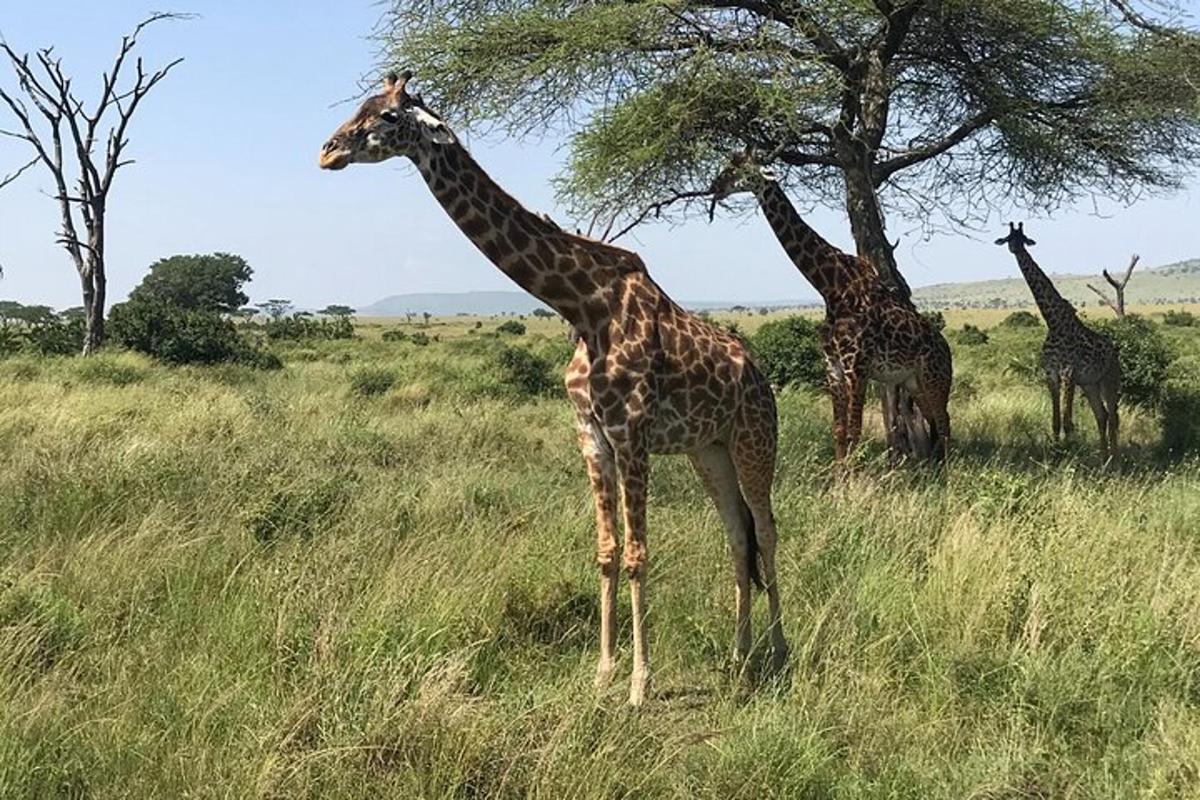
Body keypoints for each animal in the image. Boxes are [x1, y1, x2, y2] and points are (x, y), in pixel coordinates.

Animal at [319, 71, 787, 705]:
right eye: (360, 106)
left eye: (389, 116)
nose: (328, 151)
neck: (583, 306)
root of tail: (758, 374)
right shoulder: (590, 433)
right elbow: (608, 553)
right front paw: (603, 675)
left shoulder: (632, 433)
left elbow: (638, 555)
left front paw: (639, 686)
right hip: (707, 449)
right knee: (738, 537)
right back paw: (740, 659)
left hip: (753, 439)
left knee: (767, 530)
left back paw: (780, 654)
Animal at [710, 155, 945, 462]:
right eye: (729, 163)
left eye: (742, 168)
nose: (715, 186)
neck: (831, 287)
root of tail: (946, 348)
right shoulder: (832, 367)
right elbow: (840, 432)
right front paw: (839, 475)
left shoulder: (856, 367)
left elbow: (855, 432)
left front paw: (855, 477)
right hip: (913, 383)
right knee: (935, 423)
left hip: (935, 378)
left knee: (944, 424)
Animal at [988, 224, 1118, 455]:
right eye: (1009, 238)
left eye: (1023, 238)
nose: (1016, 248)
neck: (1054, 323)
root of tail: (1115, 352)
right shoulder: (1051, 374)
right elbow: (1056, 421)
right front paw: (1056, 452)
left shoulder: (1068, 373)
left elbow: (1068, 421)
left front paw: (1071, 452)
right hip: (1090, 384)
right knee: (1101, 416)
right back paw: (1104, 458)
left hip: (1109, 381)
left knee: (1113, 417)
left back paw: (1116, 458)